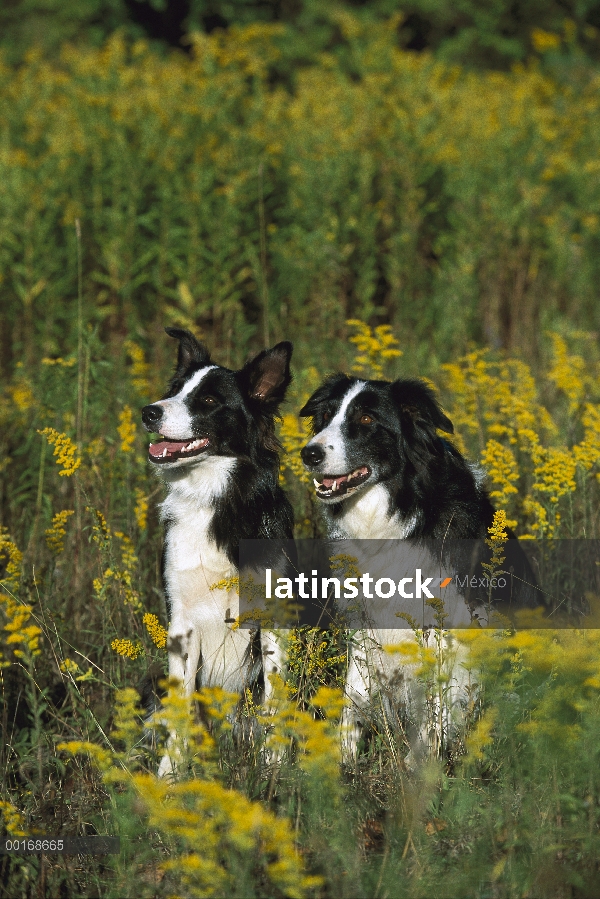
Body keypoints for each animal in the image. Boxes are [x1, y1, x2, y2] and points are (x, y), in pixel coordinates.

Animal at [139, 326, 292, 776]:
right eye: (173, 391)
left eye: (208, 401)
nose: (148, 412)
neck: (216, 499)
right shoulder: (182, 622)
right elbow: (182, 706)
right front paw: (169, 776)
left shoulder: (272, 619)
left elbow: (274, 701)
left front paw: (274, 768)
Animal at [300, 372, 540, 768]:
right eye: (326, 416)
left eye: (367, 419)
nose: (309, 453)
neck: (400, 512)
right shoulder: (366, 620)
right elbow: (354, 696)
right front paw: (342, 763)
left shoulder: (452, 622)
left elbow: (436, 710)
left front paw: (419, 773)